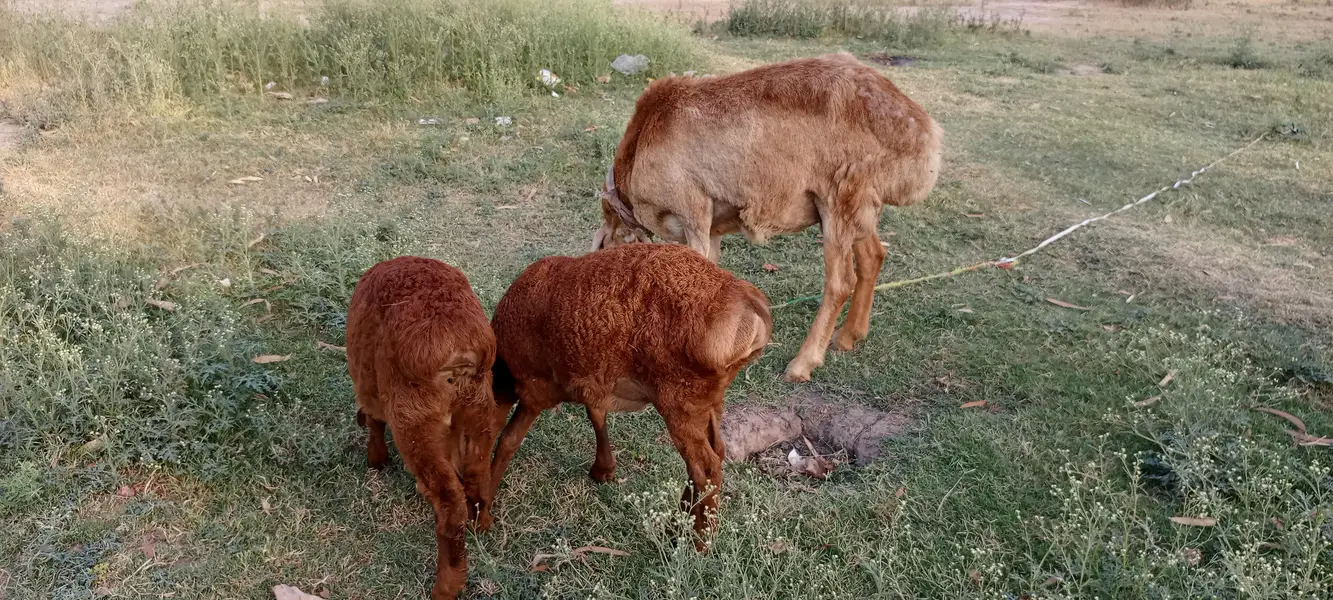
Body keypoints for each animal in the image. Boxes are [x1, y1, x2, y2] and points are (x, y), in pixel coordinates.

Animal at [346, 256, 507, 600]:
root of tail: (462, 352)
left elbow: (374, 425)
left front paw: (376, 460)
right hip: (479, 411)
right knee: (478, 476)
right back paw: (482, 522)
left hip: (414, 424)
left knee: (449, 505)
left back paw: (447, 585)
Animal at [488, 243, 771, 548]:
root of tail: (749, 304)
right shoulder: (593, 380)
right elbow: (596, 413)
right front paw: (603, 469)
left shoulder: (534, 388)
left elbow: (508, 439)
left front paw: (481, 513)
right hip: (709, 400)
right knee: (715, 451)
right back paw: (675, 526)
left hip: (680, 399)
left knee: (704, 467)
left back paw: (698, 541)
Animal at [591, 52, 943, 383]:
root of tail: (923, 134)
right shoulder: (712, 229)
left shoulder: (694, 213)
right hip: (860, 205)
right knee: (873, 256)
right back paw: (847, 337)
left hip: (840, 198)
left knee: (841, 281)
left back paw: (802, 364)